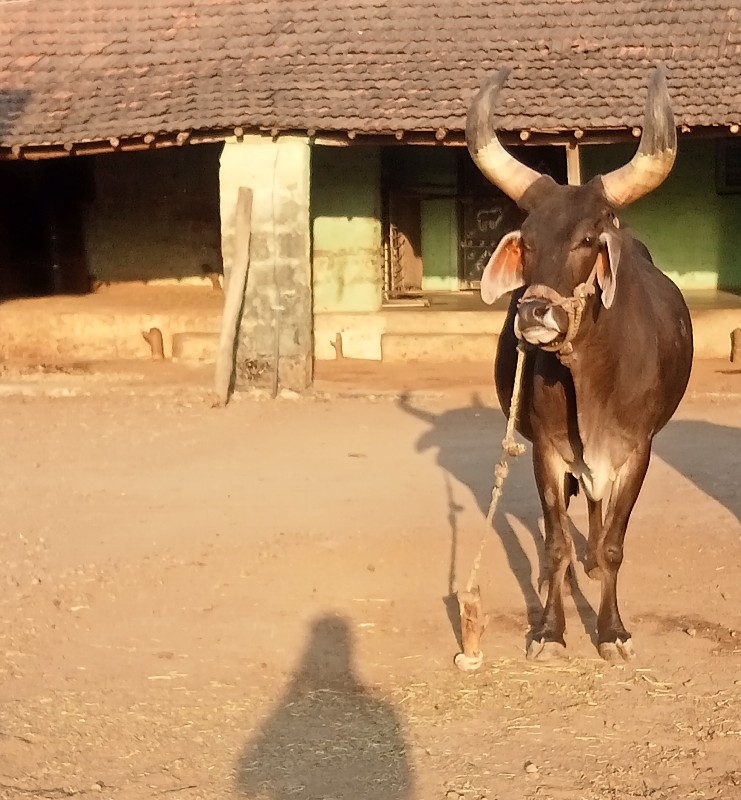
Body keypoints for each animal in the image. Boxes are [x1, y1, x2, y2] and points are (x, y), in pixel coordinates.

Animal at [468, 69, 692, 660]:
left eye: (588, 239)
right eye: (525, 243)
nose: (532, 313)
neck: (592, 378)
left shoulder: (637, 451)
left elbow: (614, 544)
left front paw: (611, 630)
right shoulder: (547, 450)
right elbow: (554, 542)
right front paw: (550, 628)